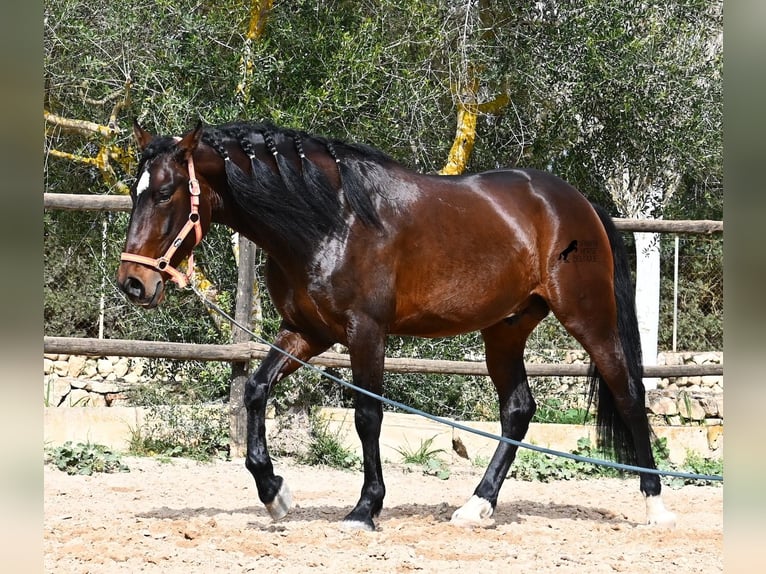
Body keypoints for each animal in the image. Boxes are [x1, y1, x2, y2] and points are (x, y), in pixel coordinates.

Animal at [117, 119, 676, 532]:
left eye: (164, 193)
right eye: (134, 193)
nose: (133, 283)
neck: (331, 220)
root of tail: (577, 204)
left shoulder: (365, 332)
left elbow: (368, 416)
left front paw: (365, 509)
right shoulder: (306, 332)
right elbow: (255, 390)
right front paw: (275, 493)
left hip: (589, 317)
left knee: (628, 395)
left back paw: (655, 504)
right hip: (505, 328)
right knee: (518, 410)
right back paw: (477, 506)